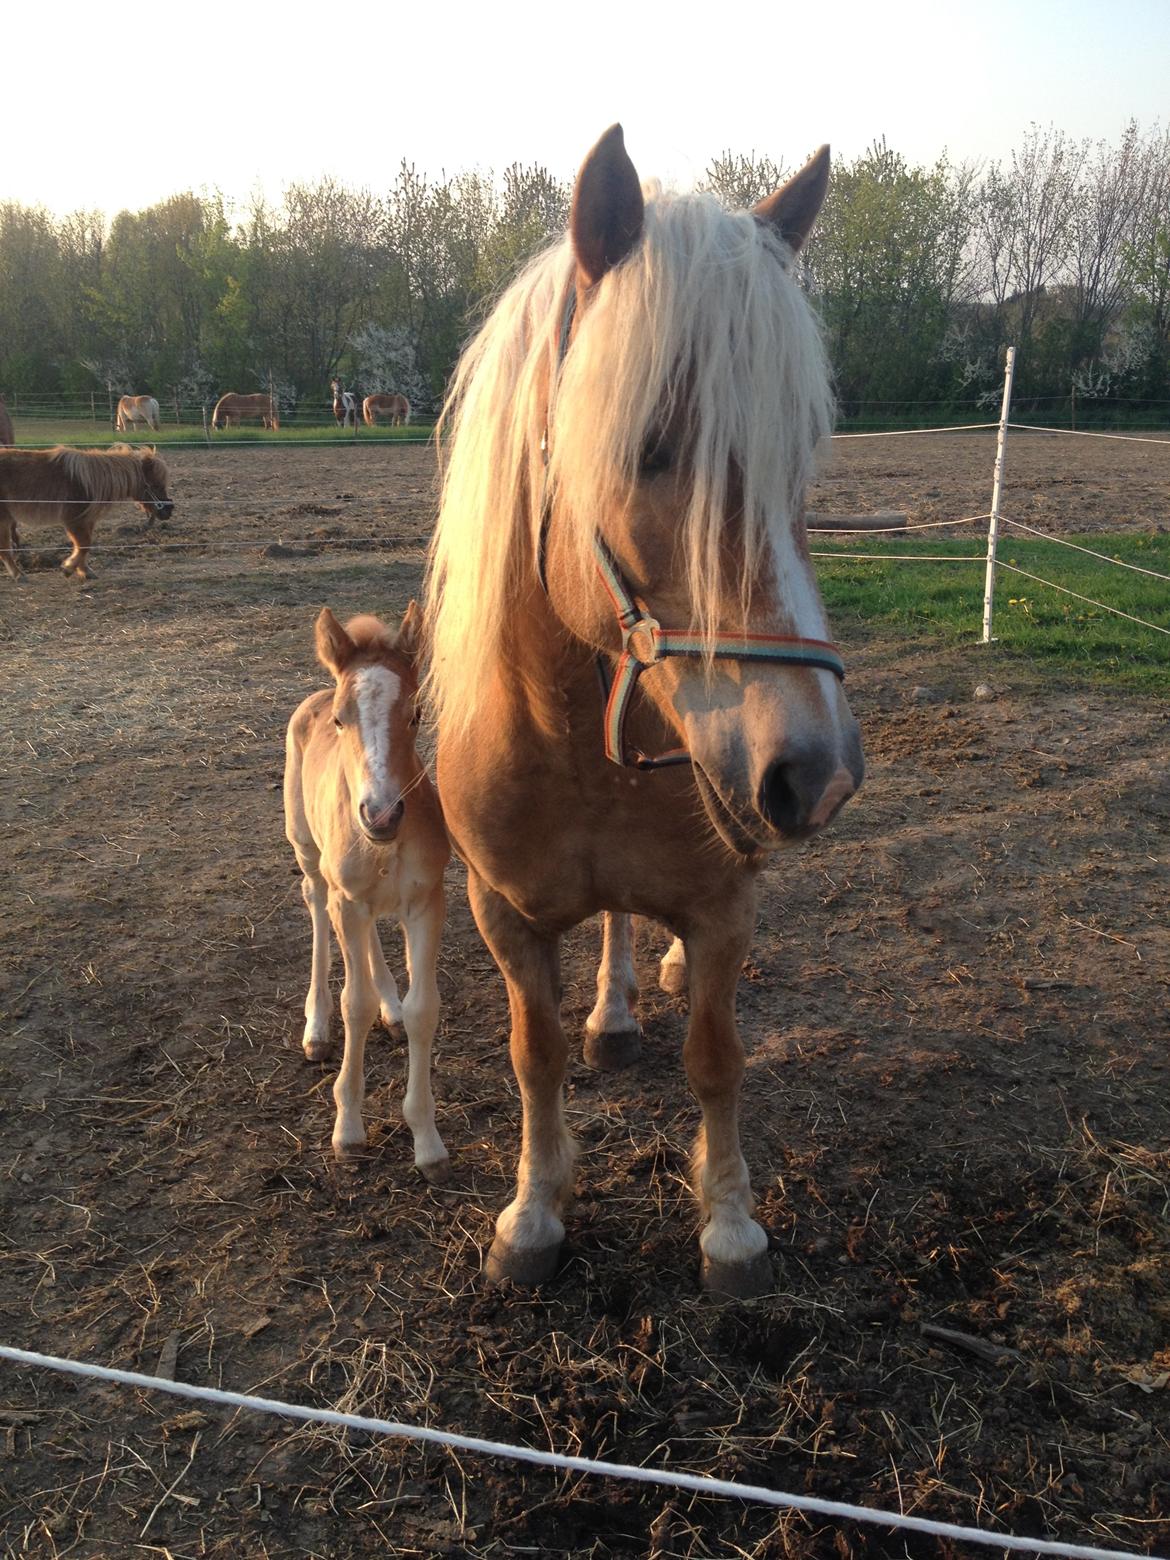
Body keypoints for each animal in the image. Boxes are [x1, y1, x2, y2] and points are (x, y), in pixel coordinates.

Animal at [0, 443, 173, 583]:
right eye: (155, 485)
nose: (168, 511)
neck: (87, 482)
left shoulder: (86, 520)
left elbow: (84, 546)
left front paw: (83, 571)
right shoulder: (74, 521)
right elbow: (84, 544)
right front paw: (68, 568)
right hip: (4, 520)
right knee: (5, 549)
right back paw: (18, 575)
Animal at [282, 602, 452, 1173]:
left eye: (416, 713)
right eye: (341, 718)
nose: (380, 814)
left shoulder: (426, 901)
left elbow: (425, 1008)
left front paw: (426, 1140)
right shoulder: (347, 899)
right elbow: (352, 1005)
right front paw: (348, 1130)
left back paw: (390, 1010)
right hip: (308, 854)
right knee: (315, 906)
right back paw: (316, 1028)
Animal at [427, 121, 867, 1297]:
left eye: (802, 461)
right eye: (650, 449)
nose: (816, 774)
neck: (570, 752)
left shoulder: (723, 911)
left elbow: (717, 1057)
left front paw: (731, 1226)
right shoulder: (502, 915)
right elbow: (533, 1056)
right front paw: (534, 1213)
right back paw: (614, 1013)